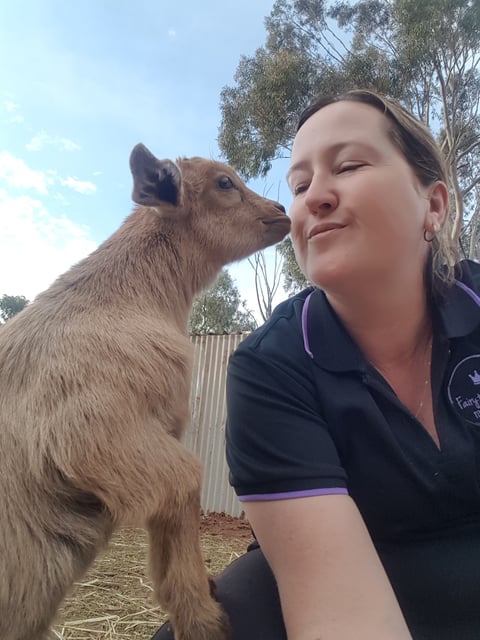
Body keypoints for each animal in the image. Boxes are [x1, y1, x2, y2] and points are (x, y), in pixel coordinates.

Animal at [0, 145, 290, 640]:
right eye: (224, 182)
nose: (282, 211)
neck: (121, 298)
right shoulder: (93, 433)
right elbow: (185, 479)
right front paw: (203, 617)